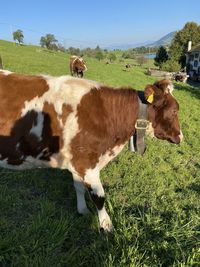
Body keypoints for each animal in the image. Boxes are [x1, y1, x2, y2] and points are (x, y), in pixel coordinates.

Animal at [0, 70, 183, 231]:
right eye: (174, 110)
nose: (180, 136)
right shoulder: (87, 164)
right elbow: (99, 197)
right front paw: (107, 226)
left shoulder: (77, 163)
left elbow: (79, 187)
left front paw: (83, 211)